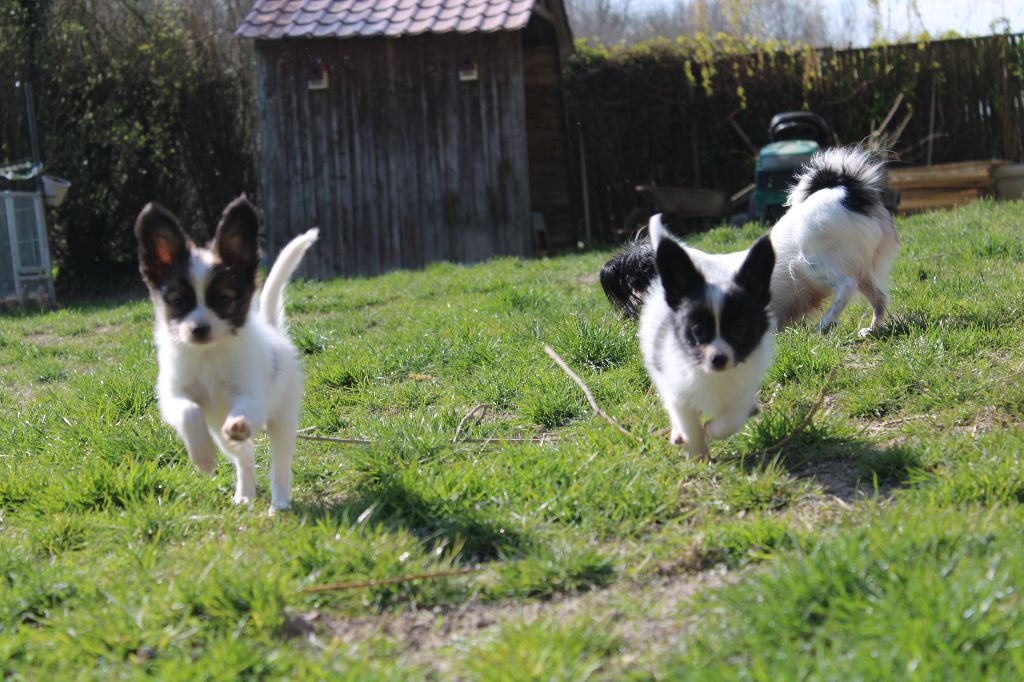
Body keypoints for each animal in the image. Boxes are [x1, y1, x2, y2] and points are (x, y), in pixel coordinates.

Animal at [136, 196, 317, 509]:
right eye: (179, 302)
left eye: (223, 300)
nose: (199, 329)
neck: (208, 355)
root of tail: (273, 331)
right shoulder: (174, 396)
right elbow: (189, 411)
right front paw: (203, 457)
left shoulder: (251, 394)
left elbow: (244, 409)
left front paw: (238, 422)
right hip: (221, 434)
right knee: (244, 456)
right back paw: (244, 493)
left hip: (282, 418)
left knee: (280, 463)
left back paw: (280, 501)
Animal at [602, 146, 901, 333]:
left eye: (635, 280)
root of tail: (845, 189)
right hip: (858, 271)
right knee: (879, 297)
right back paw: (872, 329)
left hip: (812, 264)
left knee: (846, 287)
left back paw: (825, 325)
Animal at [638, 214, 774, 456]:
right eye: (698, 330)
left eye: (739, 329)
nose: (718, 359)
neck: (713, 375)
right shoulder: (677, 391)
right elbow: (689, 424)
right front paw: (698, 454)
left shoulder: (743, 391)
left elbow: (730, 421)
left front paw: (711, 429)